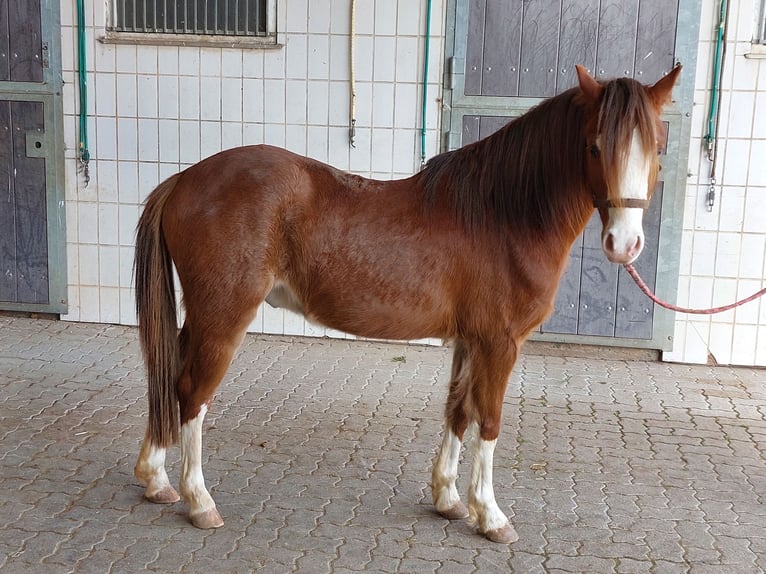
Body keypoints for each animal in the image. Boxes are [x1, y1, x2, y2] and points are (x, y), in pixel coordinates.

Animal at [135, 66, 680, 544]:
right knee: (191, 393)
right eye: (594, 146)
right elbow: (490, 420)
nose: (624, 244)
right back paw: (200, 501)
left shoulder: (470, 341)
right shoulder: (500, 343)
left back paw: (156, 479)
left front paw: (449, 499)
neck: (503, 214)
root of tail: (184, 180)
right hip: (223, 317)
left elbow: (458, 411)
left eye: (658, 147)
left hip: (202, 316)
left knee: (168, 376)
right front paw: (491, 516)